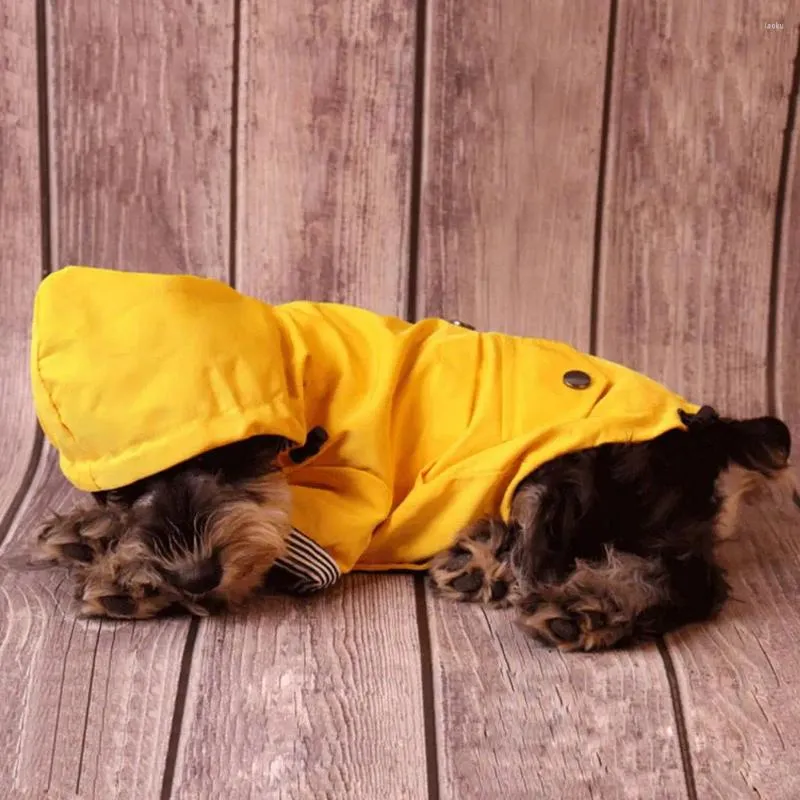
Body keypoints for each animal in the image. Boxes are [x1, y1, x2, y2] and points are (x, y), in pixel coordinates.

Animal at [29, 268, 792, 648]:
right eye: (130, 484)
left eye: (241, 458)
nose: (194, 574)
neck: (296, 367)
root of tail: (709, 431)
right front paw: (88, 531)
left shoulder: (338, 505)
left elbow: (268, 545)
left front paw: (133, 579)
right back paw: (481, 559)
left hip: (579, 472)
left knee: (685, 577)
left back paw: (589, 604)